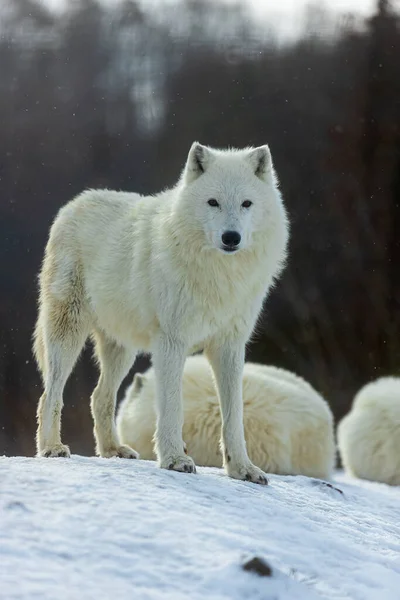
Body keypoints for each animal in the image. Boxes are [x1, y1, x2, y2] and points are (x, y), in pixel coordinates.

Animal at [32, 141, 288, 482]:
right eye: (213, 203)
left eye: (247, 203)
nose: (231, 237)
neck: (218, 274)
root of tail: (74, 203)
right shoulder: (171, 343)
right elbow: (171, 408)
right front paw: (175, 459)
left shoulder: (229, 347)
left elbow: (234, 415)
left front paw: (242, 469)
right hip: (67, 334)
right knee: (50, 394)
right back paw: (51, 447)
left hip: (121, 350)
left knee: (99, 397)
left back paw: (113, 449)